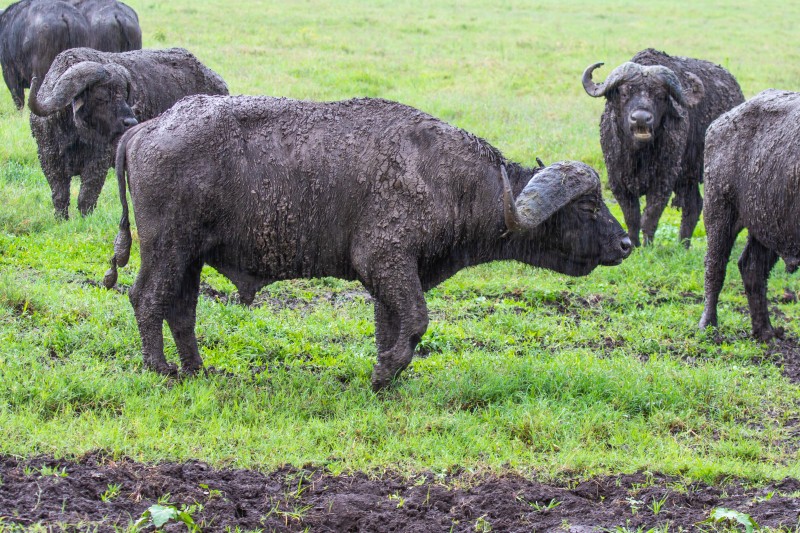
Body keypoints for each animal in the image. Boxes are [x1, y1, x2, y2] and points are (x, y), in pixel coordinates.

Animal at [28, 47, 228, 218]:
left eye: (124, 95)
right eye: (101, 97)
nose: (130, 122)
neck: (73, 135)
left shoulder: (98, 163)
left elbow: (86, 197)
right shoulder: (48, 159)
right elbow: (60, 196)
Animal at [104, 95, 632, 388]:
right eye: (588, 206)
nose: (627, 245)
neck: (453, 180)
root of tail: (148, 127)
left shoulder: (393, 275)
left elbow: (392, 327)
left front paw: (389, 374)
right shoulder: (384, 261)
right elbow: (416, 321)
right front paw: (383, 375)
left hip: (190, 256)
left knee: (181, 310)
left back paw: (197, 369)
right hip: (168, 248)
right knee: (146, 298)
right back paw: (161, 369)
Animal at [580, 48, 744, 246]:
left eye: (659, 95)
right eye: (625, 93)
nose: (641, 119)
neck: (639, 155)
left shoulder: (664, 180)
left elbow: (650, 216)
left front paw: (647, 246)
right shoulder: (618, 181)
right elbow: (632, 217)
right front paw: (634, 245)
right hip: (686, 177)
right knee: (694, 204)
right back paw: (682, 245)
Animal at [696, 90, 800, 340]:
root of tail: (719, 123)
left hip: (767, 224)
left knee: (752, 267)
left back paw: (765, 331)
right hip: (719, 211)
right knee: (715, 266)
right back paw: (708, 325)